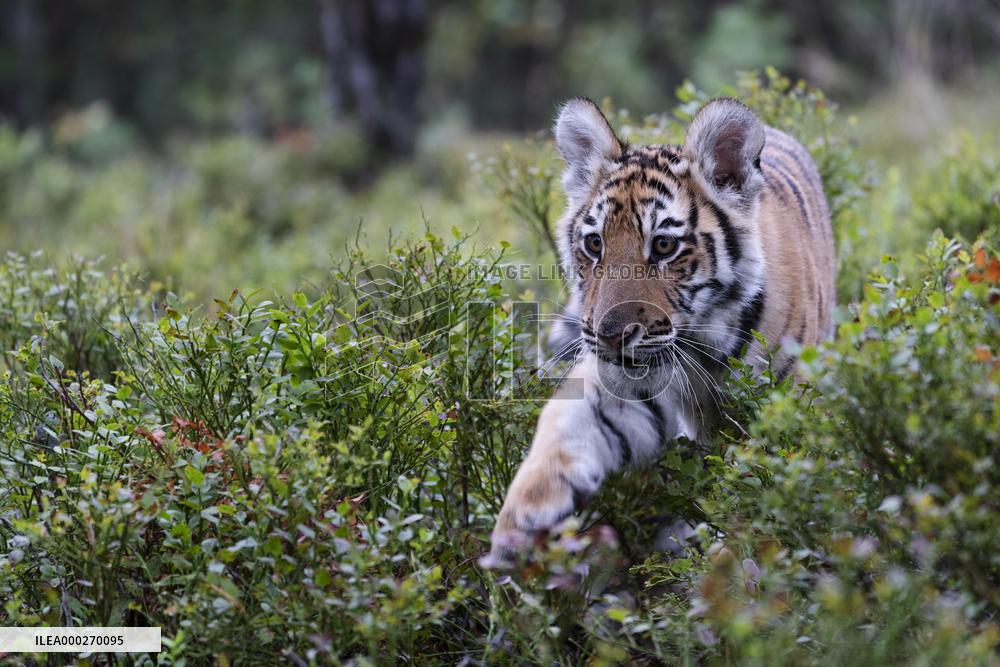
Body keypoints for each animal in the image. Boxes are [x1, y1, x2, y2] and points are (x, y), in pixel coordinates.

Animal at [486, 97, 835, 562]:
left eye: (664, 245)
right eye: (594, 244)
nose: (611, 335)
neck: (700, 343)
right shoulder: (628, 384)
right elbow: (568, 420)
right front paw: (523, 516)